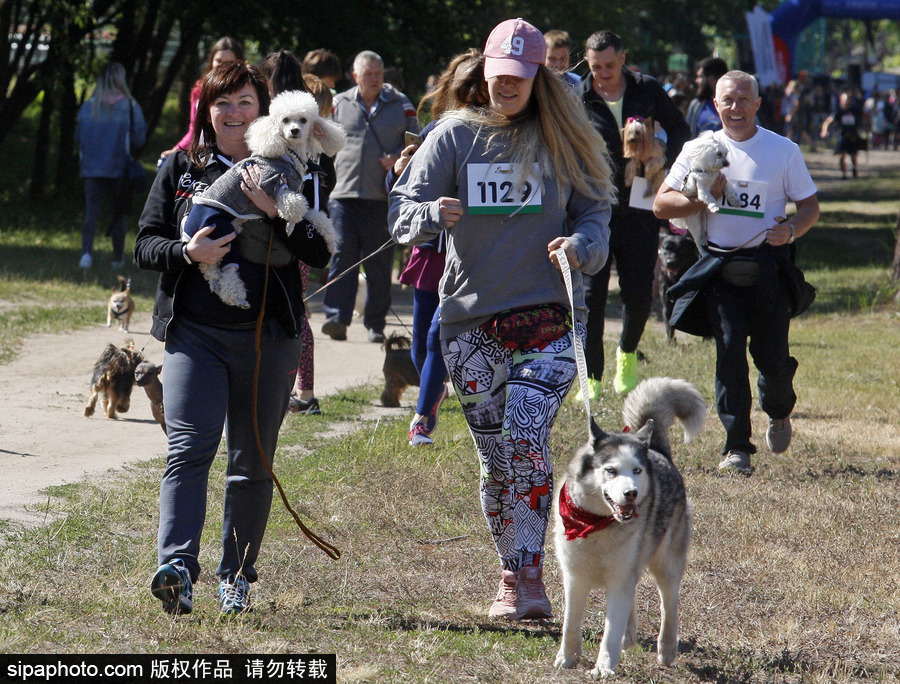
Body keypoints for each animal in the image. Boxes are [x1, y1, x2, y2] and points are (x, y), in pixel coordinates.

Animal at [185, 90, 346, 308]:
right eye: (285, 120)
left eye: (304, 120)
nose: (294, 131)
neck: (289, 155)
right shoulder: (273, 185)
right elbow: (296, 208)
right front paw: (291, 225)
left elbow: (316, 215)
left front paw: (330, 239)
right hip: (218, 229)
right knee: (221, 270)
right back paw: (235, 296)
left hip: (228, 235)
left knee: (214, 270)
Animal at [556, 380, 704, 680]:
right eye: (611, 470)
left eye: (636, 471)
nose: (631, 493)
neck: (596, 524)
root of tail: (656, 449)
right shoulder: (575, 576)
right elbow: (570, 624)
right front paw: (567, 658)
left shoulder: (620, 578)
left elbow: (609, 632)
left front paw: (602, 667)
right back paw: (629, 635)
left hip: (666, 564)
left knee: (669, 606)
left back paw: (667, 649)